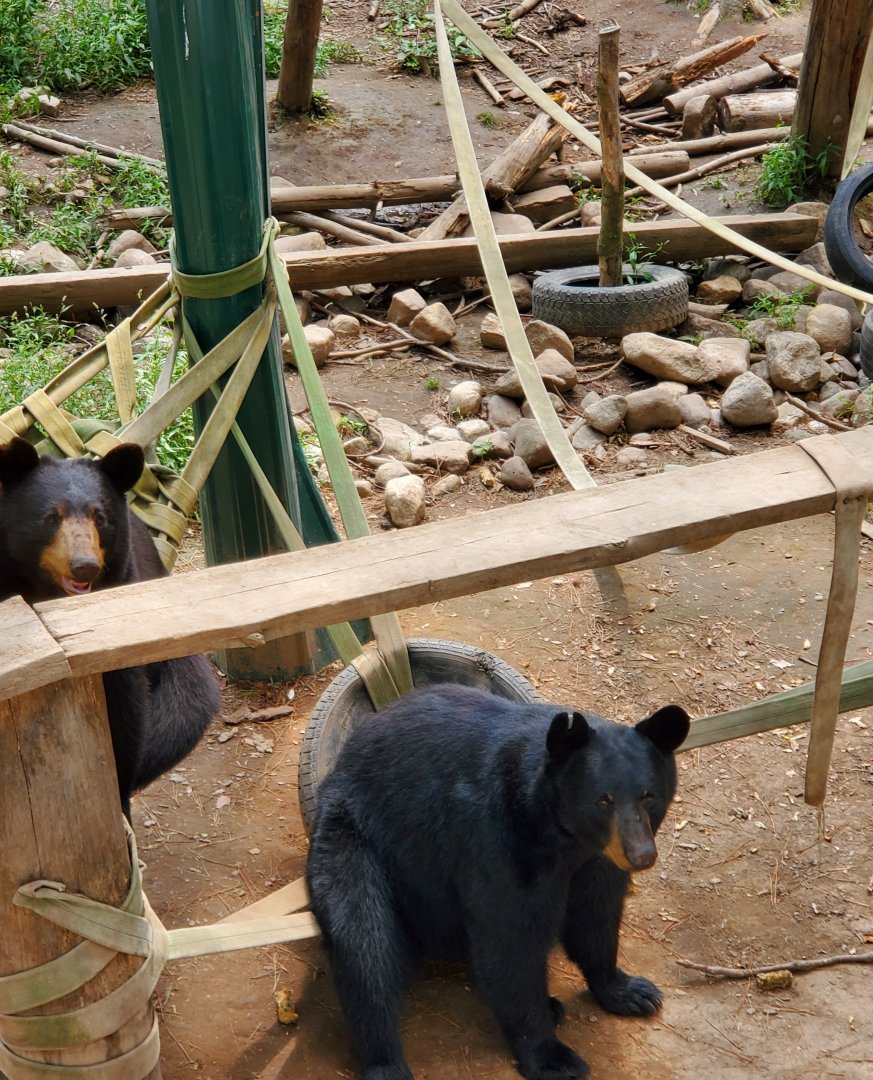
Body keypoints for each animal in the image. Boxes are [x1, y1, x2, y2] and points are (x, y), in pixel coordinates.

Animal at [306, 682, 690, 1080]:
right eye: (603, 800)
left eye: (648, 795)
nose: (641, 855)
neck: (564, 840)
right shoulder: (496, 840)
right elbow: (508, 939)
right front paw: (553, 1057)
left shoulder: (595, 863)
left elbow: (595, 917)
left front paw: (631, 991)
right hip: (353, 839)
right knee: (365, 944)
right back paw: (387, 1063)